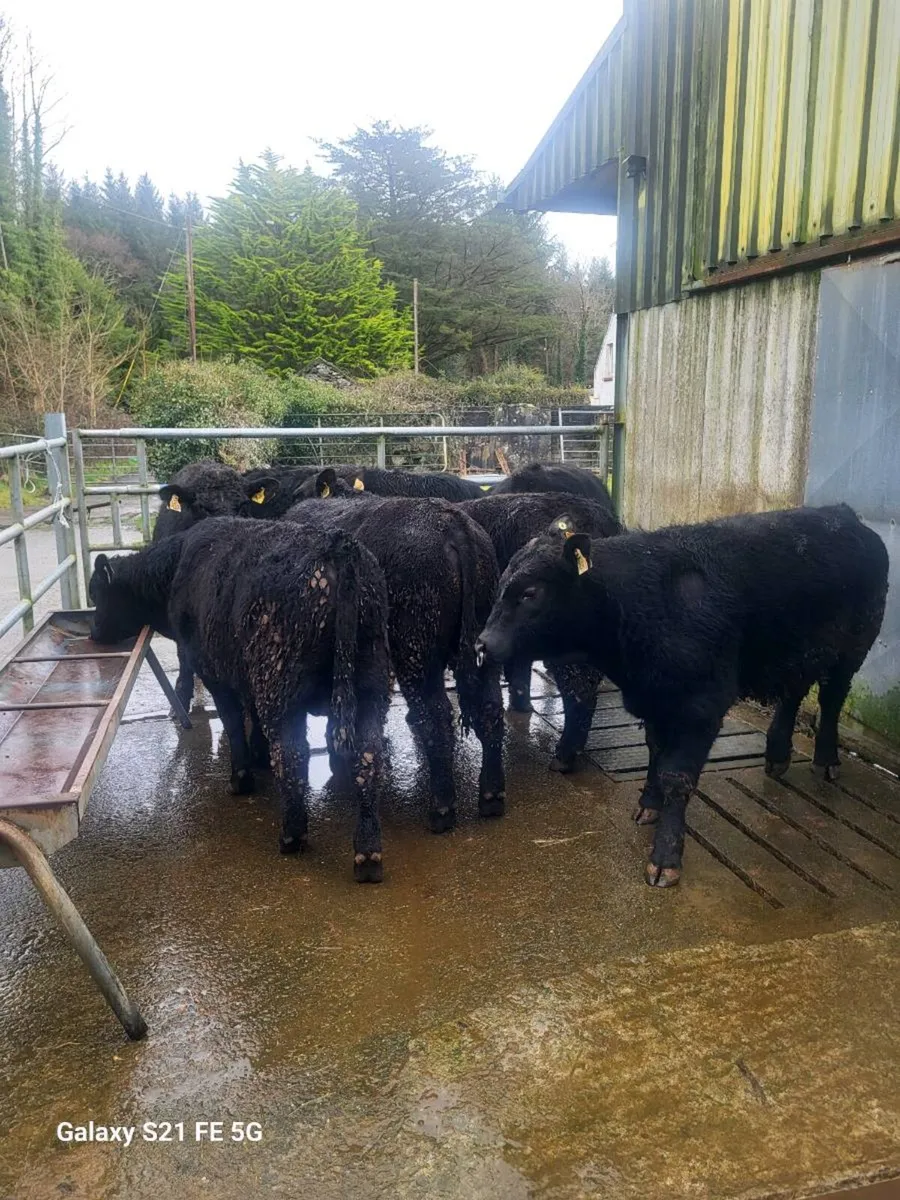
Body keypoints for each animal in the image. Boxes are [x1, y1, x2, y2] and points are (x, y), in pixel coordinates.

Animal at [89, 519, 392, 881]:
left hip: (280, 684)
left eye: (97, 594)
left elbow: (234, 722)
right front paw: (258, 756)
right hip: (371, 684)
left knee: (292, 752)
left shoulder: (215, 672)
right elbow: (252, 718)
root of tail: (337, 545)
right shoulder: (247, 676)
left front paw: (242, 776)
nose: (93, 634)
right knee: (368, 754)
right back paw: (368, 853)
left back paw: (292, 835)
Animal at [287, 469, 505, 833]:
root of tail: (454, 522)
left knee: (435, 714)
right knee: (489, 709)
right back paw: (491, 795)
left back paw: (442, 808)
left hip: (415, 646)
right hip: (483, 642)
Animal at [475, 504, 889, 889]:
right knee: (793, 693)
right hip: (796, 654)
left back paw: (826, 761)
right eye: (500, 585)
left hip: (852, 649)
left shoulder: (700, 708)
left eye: (530, 593)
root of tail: (842, 514)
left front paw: (665, 857)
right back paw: (777, 756)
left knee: (832, 700)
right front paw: (648, 805)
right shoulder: (656, 700)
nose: (483, 644)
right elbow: (656, 755)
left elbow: (677, 775)